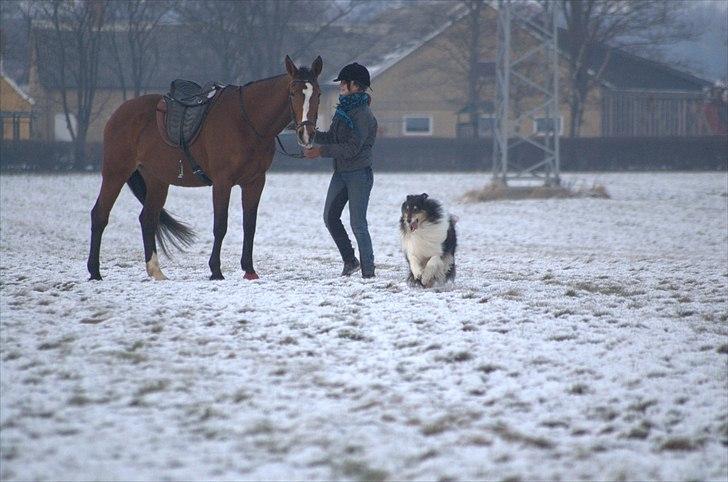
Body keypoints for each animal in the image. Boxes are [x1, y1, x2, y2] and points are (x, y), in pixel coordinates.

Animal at [87, 55, 322, 282]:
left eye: (318, 94)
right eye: (292, 93)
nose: (306, 134)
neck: (247, 121)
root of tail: (120, 112)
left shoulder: (254, 182)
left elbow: (250, 225)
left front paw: (249, 270)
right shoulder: (222, 182)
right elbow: (220, 226)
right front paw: (216, 270)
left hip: (157, 180)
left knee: (148, 219)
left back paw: (156, 271)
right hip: (115, 172)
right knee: (100, 215)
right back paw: (94, 271)